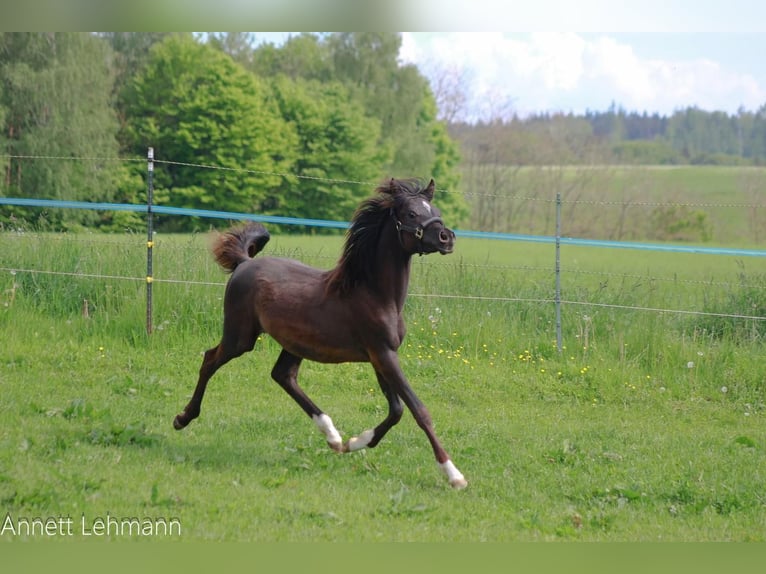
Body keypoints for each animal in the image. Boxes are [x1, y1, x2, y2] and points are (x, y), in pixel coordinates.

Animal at [174, 177, 468, 490]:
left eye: (435, 210)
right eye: (412, 214)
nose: (447, 238)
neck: (374, 294)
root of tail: (244, 263)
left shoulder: (380, 356)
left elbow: (396, 410)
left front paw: (355, 442)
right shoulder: (383, 354)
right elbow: (418, 410)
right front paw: (454, 475)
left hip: (294, 344)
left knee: (283, 375)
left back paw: (333, 437)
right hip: (240, 338)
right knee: (210, 360)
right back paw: (182, 418)